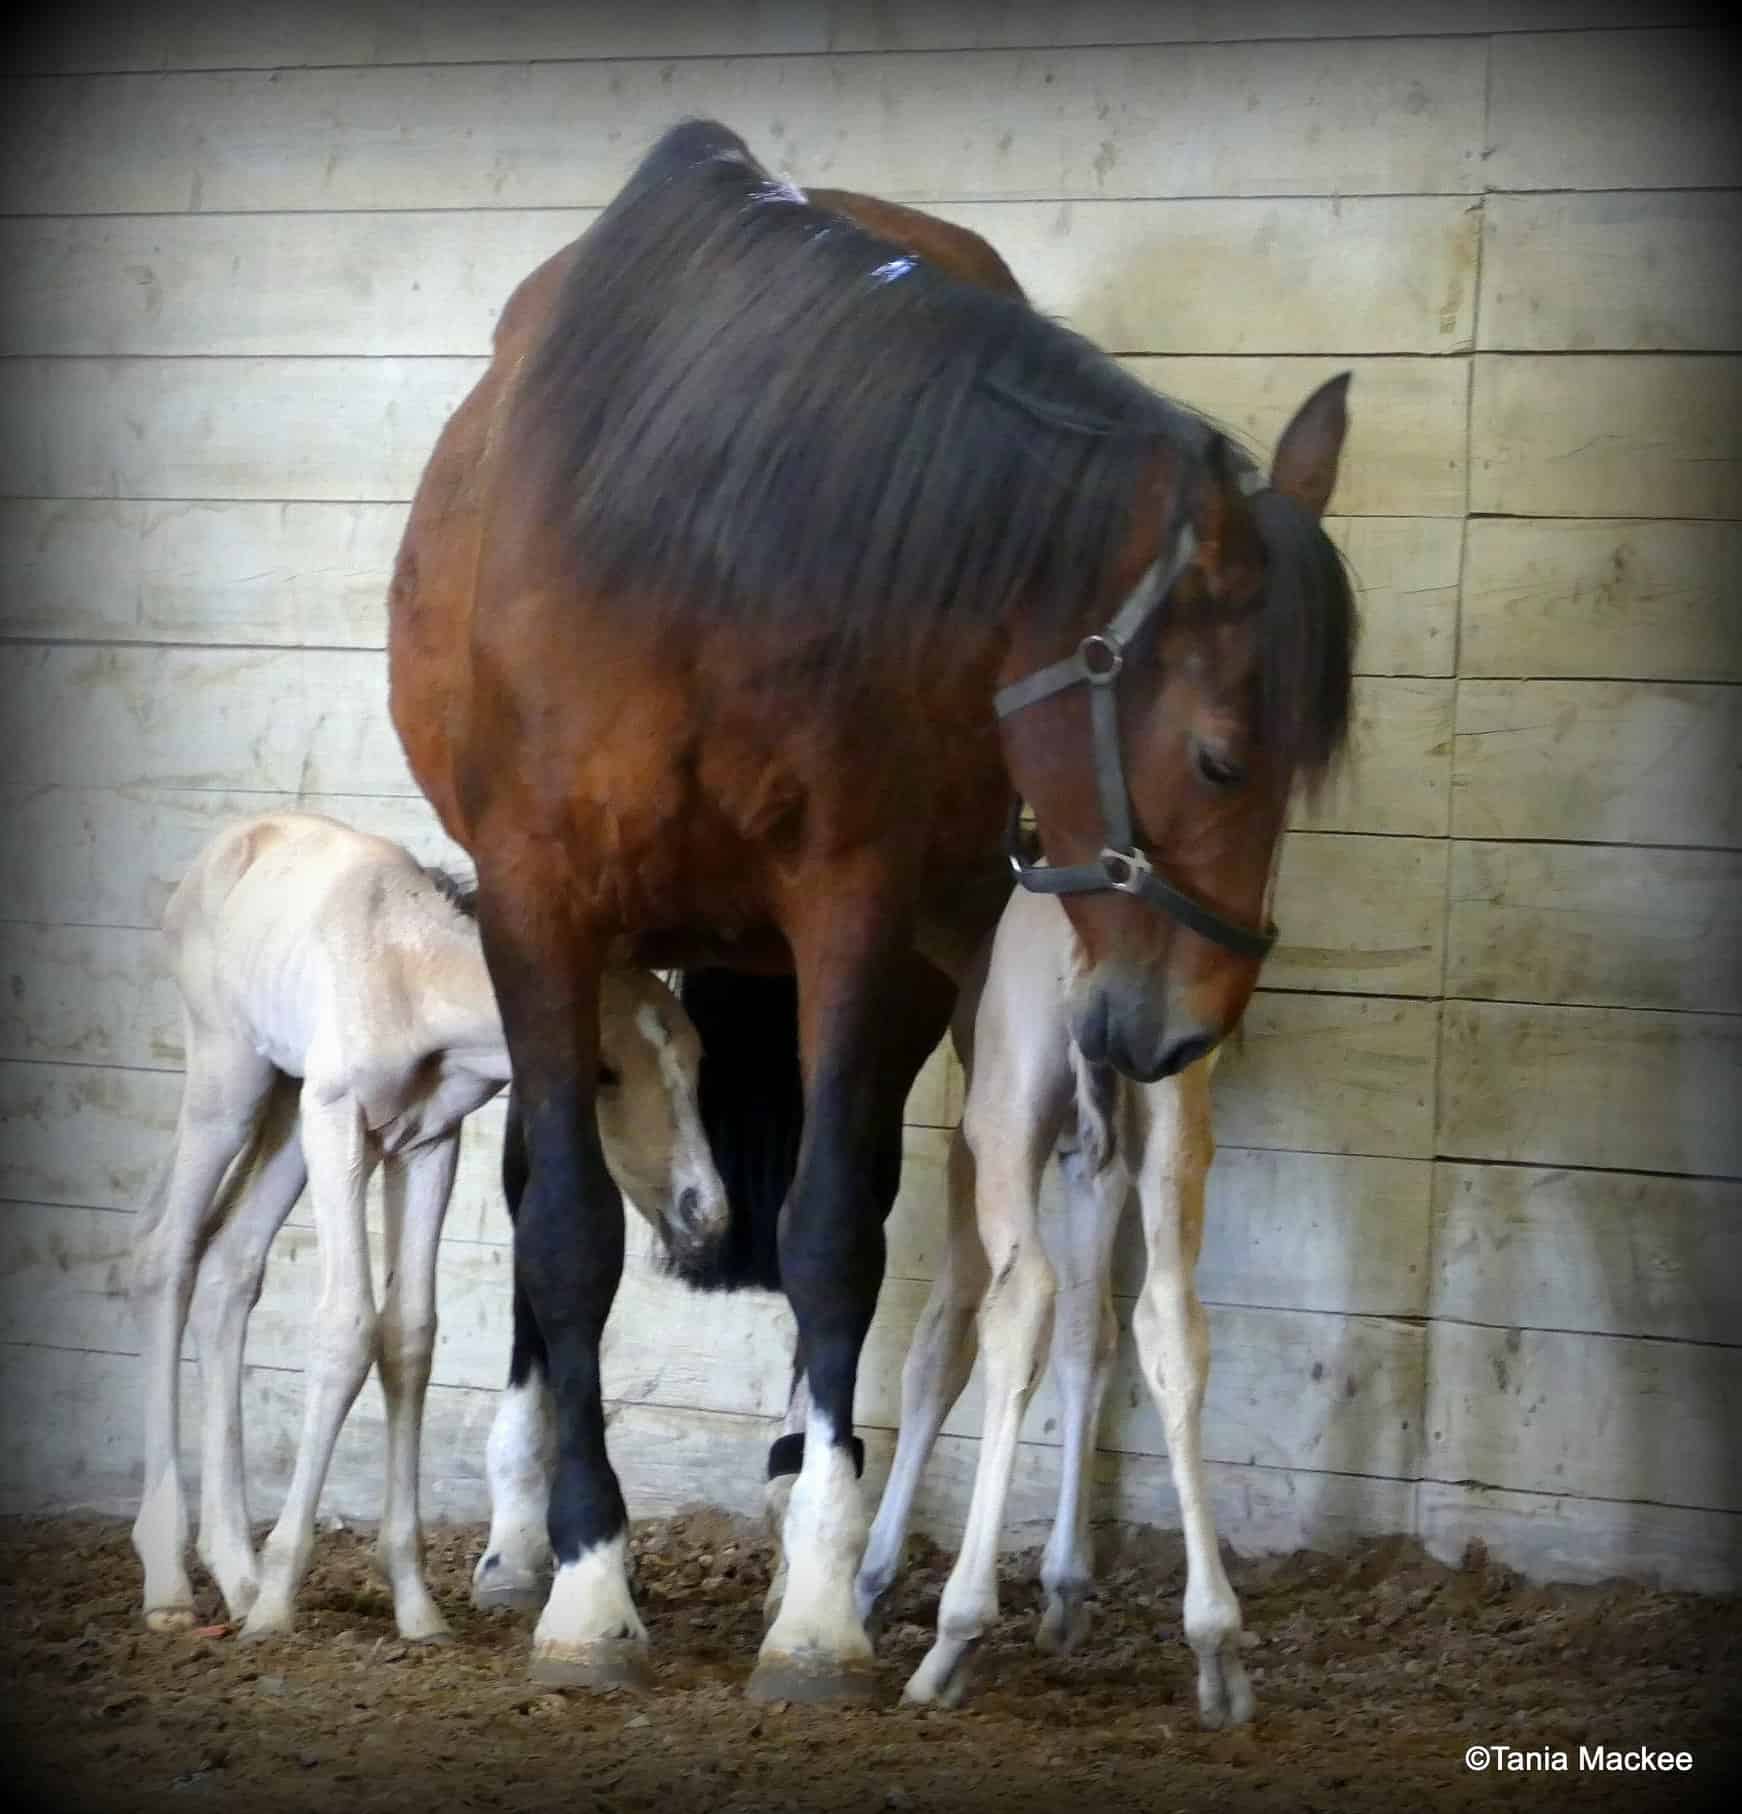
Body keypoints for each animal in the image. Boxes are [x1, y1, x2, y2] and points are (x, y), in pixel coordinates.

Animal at [130, 816, 729, 1654]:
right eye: (605, 1070)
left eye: (696, 1061)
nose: (704, 1211)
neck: (408, 975)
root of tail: (223, 853)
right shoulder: (340, 1122)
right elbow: (346, 1331)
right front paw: (282, 1598)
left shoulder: (426, 1144)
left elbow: (408, 1336)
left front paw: (414, 1607)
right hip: (232, 1084)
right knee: (167, 1256)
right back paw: (173, 1583)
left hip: (286, 1112)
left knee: (229, 1267)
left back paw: (236, 1573)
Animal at [849, 892, 1248, 1726]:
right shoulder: (1092, 1160)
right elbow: (1088, 1340)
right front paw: (1066, 1589)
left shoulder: (974, 1140)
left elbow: (939, 1348)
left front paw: (870, 1581)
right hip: (1173, 1124)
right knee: (1170, 1315)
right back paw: (1217, 1651)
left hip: (1005, 1122)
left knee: (1021, 1300)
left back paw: (953, 1640)